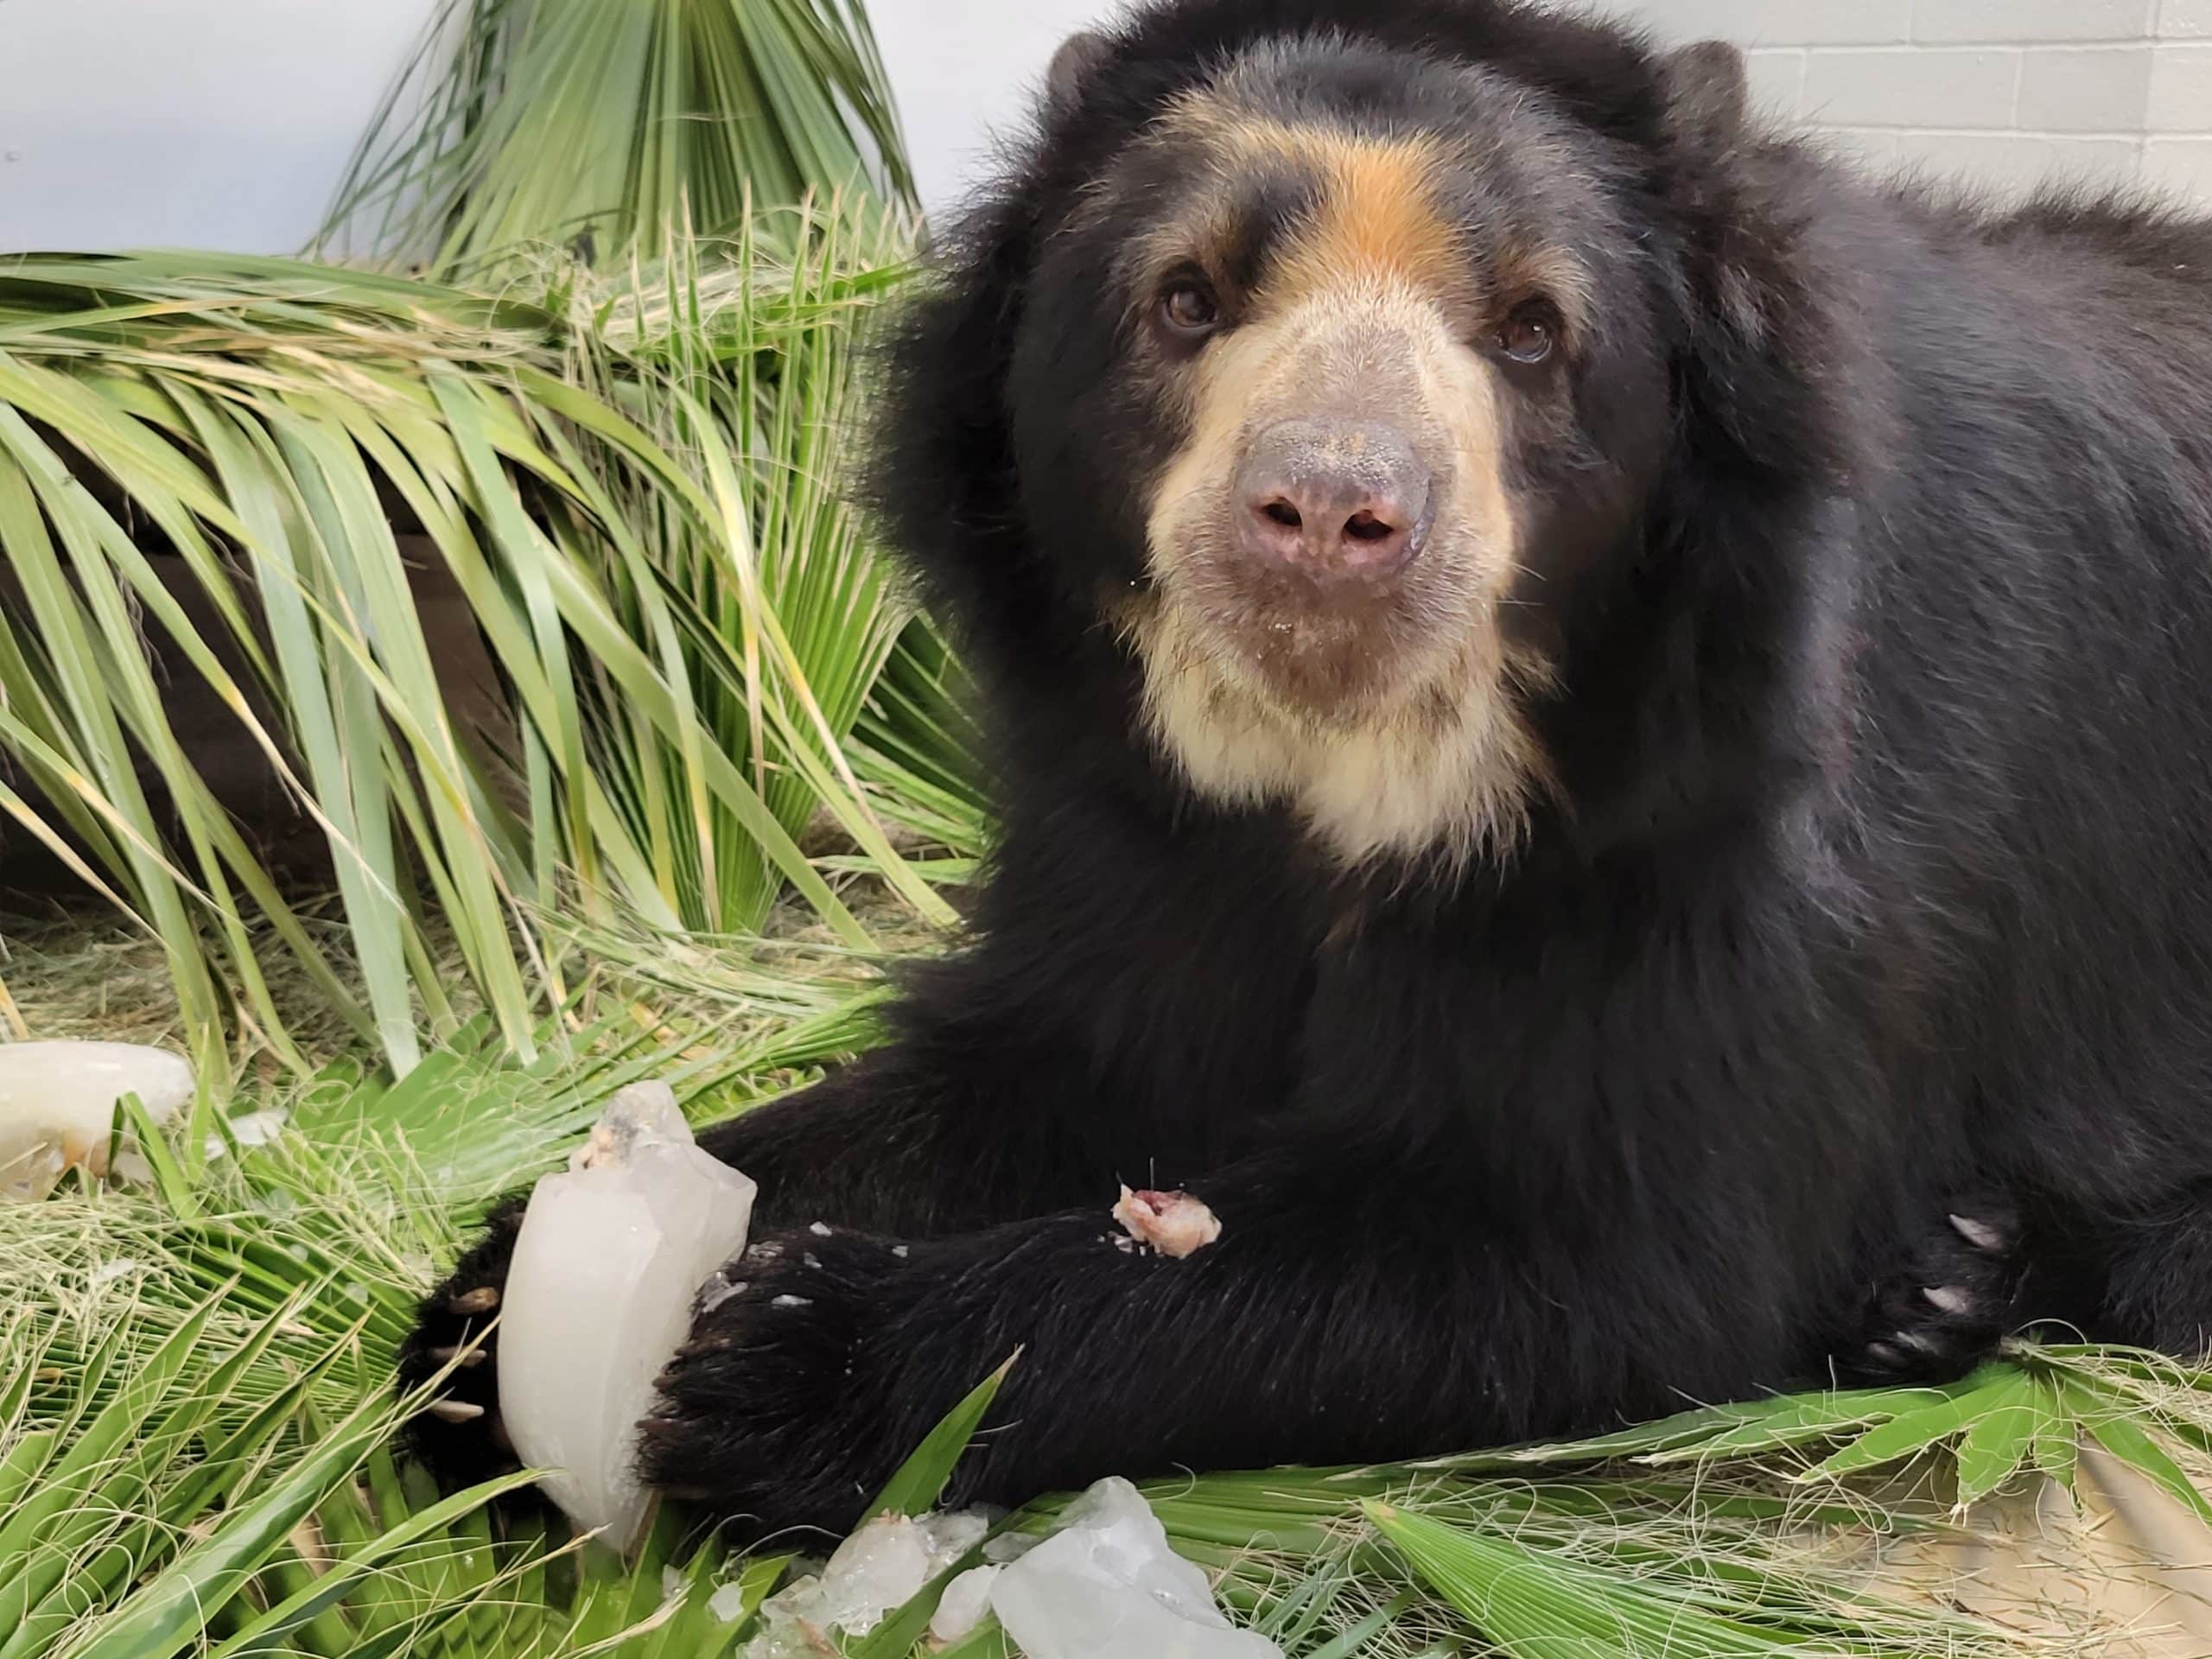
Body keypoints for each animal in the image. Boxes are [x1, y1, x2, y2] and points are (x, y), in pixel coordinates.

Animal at [405, 0, 2212, 1537]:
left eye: (1534, 333)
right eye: (1186, 298)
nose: (1333, 516)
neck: (1355, 771)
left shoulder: (1734, 840)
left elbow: (1599, 1239)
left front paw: (793, 1362)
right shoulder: (1131, 823)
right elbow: (1054, 1050)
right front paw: (491, 1314)